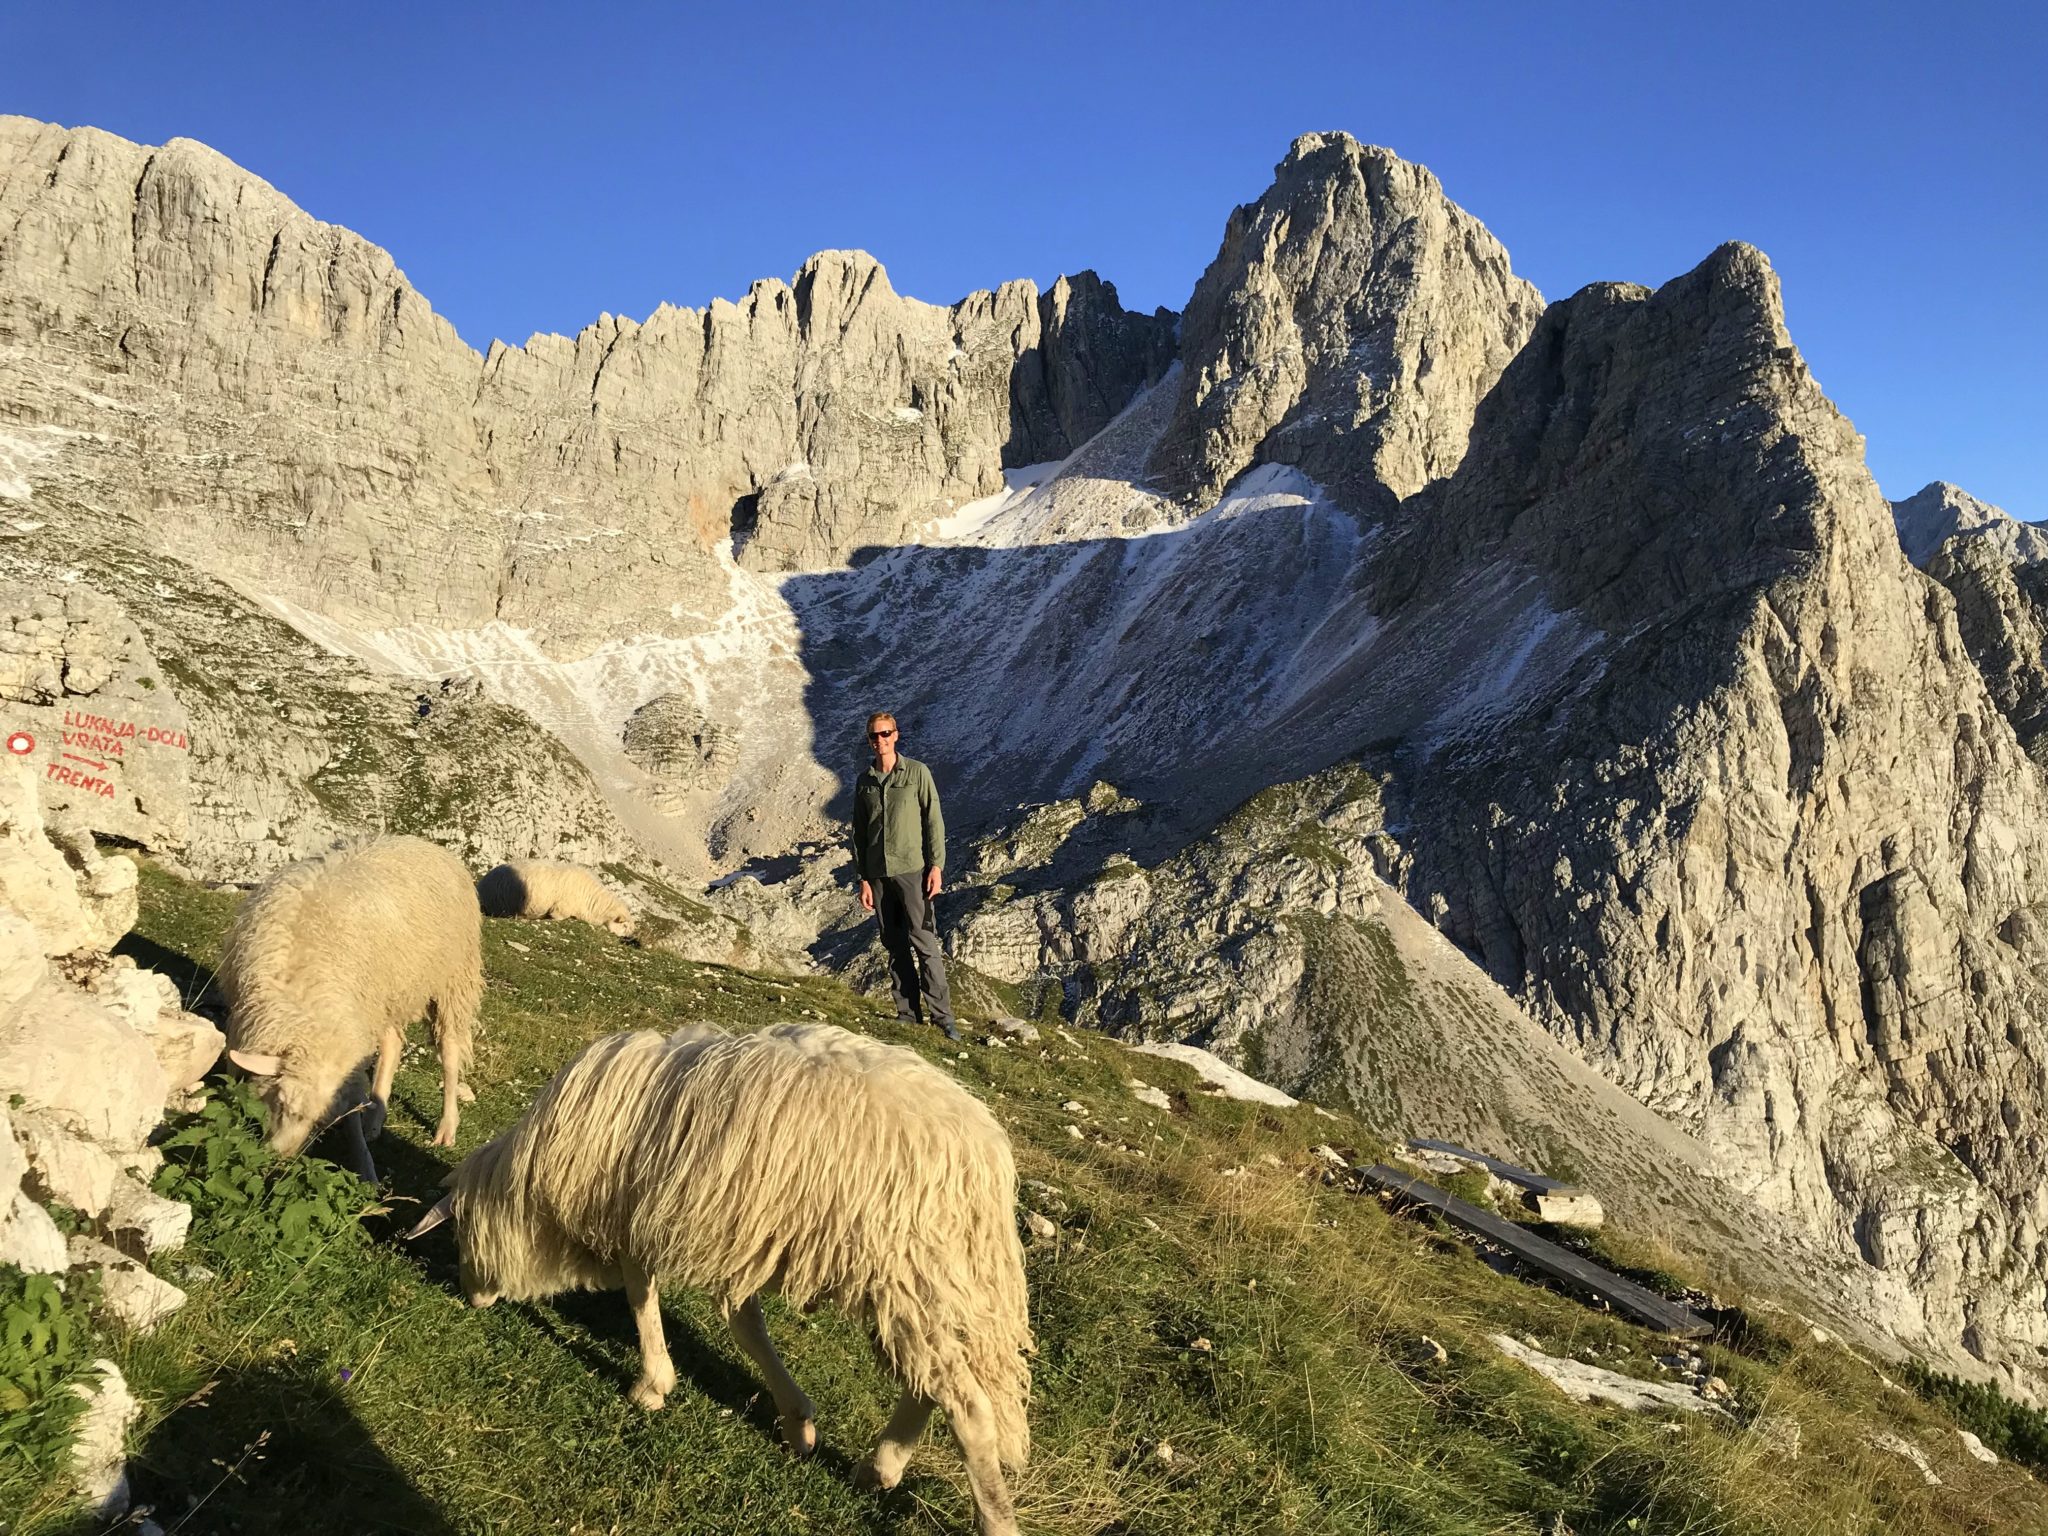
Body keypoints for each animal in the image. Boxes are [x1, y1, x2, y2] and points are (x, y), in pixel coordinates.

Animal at [221, 835, 487, 1187]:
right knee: (392, 1044)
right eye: (281, 1103)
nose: (280, 1158)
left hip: (453, 979)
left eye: (320, 1123)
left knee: (450, 1051)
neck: (304, 1009)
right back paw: (376, 1116)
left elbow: (351, 1119)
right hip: (386, 995)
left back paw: (446, 1126)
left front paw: (366, 1169)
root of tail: (427, 844)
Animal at [405, 1024, 1032, 1536]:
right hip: (918, 1285)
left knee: (969, 1408)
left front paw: (652, 1384)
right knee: (929, 1381)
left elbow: (642, 1297)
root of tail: (984, 1155)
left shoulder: (640, 1222)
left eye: (459, 1233)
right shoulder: (730, 1243)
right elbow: (746, 1329)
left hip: (908, 1271)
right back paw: (880, 1468)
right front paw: (798, 1423)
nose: (470, 1297)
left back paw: (990, 1517)